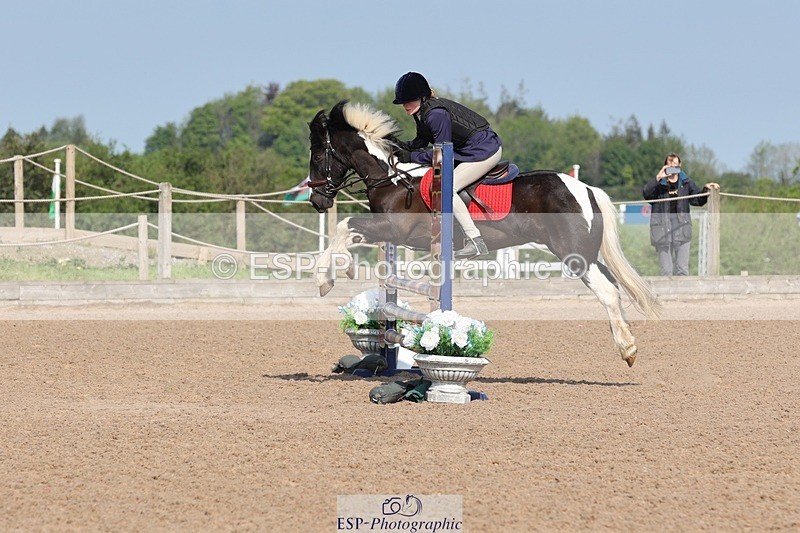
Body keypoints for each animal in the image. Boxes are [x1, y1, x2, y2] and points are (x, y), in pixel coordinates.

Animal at [307, 100, 661, 366]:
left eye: (317, 155)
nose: (316, 200)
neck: (393, 179)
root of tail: (586, 189)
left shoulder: (395, 229)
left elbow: (346, 227)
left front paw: (326, 278)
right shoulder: (390, 234)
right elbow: (353, 236)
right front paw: (339, 270)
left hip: (575, 255)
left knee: (608, 291)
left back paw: (627, 349)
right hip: (584, 253)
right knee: (613, 286)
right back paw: (626, 342)